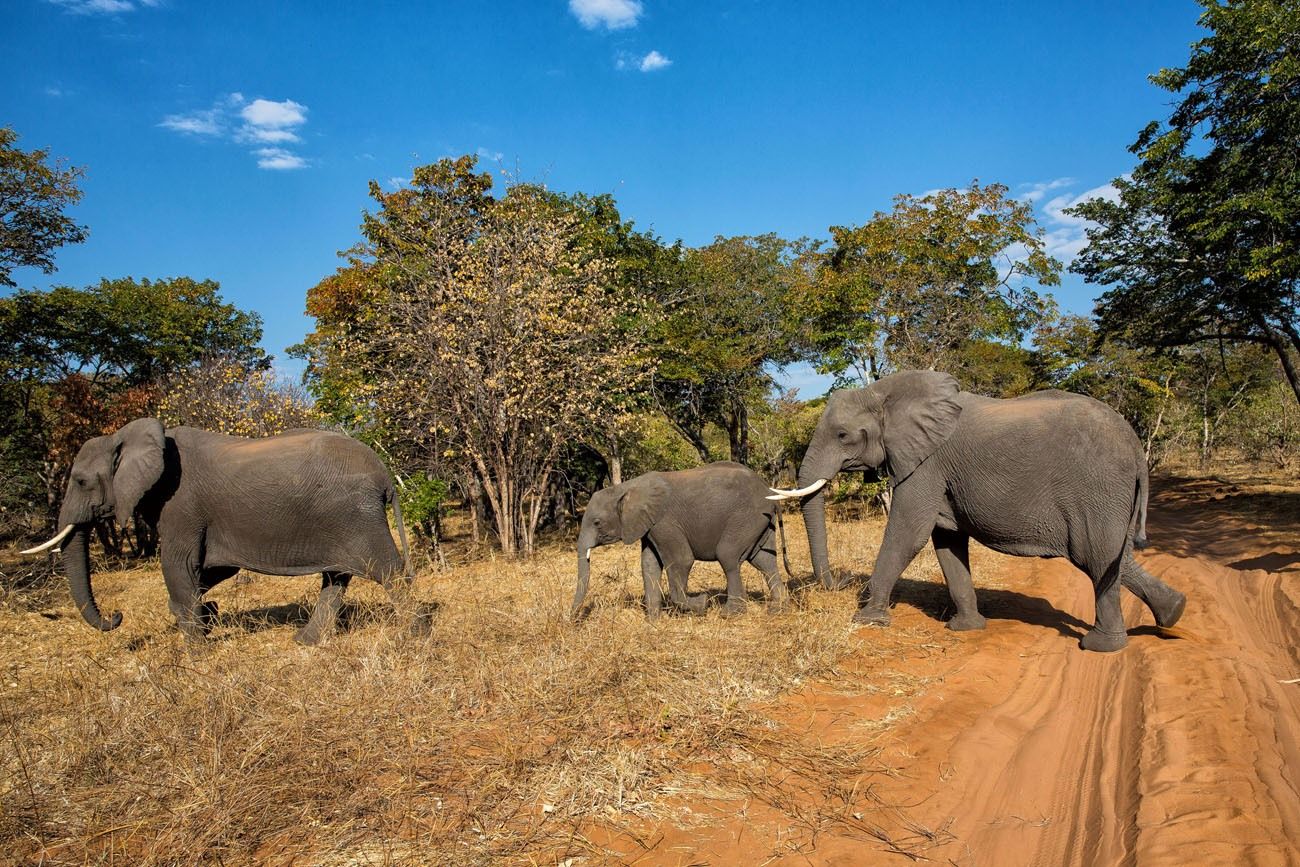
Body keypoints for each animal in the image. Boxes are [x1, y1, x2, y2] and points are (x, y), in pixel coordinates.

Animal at [24, 415, 410, 647]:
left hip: (356, 516)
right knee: (335, 579)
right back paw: (304, 642)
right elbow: (211, 570)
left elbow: (179, 566)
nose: (116, 616)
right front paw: (205, 614)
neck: (124, 435)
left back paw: (412, 638)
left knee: (389, 572)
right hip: (340, 519)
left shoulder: (179, 505)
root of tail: (384, 474)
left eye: (80, 481)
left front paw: (196, 651)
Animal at [572, 460, 790, 616]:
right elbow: (649, 565)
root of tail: (769, 490)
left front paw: (702, 603)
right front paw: (653, 622)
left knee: (728, 557)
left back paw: (730, 614)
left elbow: (681, 561)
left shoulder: (664, 522)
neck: (626, 488)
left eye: (597, 522)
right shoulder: (648, 526)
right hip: (760, 521)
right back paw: (777, 609)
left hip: (746, 517)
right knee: (764, 560)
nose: (571, 619)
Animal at [769, 369, 1190, 655]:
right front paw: (966, 629)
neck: (883, 390)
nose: (840, 582)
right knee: (1113, 556)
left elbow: (909, 531)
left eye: (843, 435)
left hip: (1098, 488)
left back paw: (1101, 646)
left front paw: (869, 620)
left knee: (1095, 555)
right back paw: (1174, 613)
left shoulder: (927, 463)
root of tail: (1136, 447)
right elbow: (946, 540)